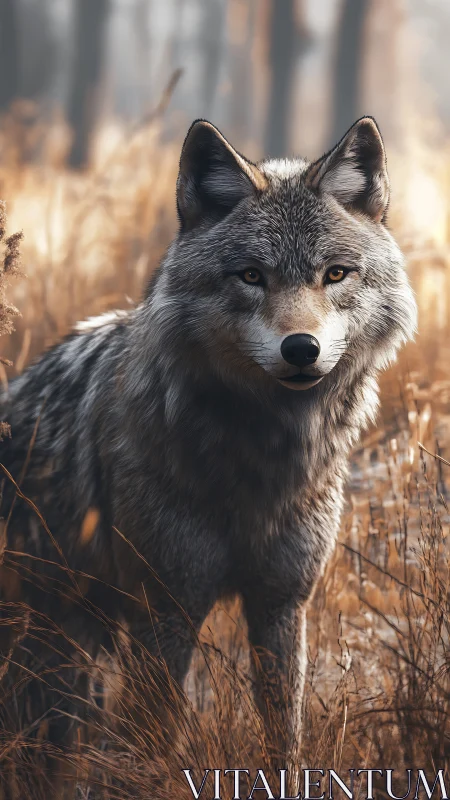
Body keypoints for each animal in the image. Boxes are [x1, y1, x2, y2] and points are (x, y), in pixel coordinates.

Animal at [0, 116, 416, 786]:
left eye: (334, 274)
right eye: (250, 276)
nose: (301, 348)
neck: (261, 463)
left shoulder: (281, 604)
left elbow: (284, 737)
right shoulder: (167, 608)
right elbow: (156, 739)